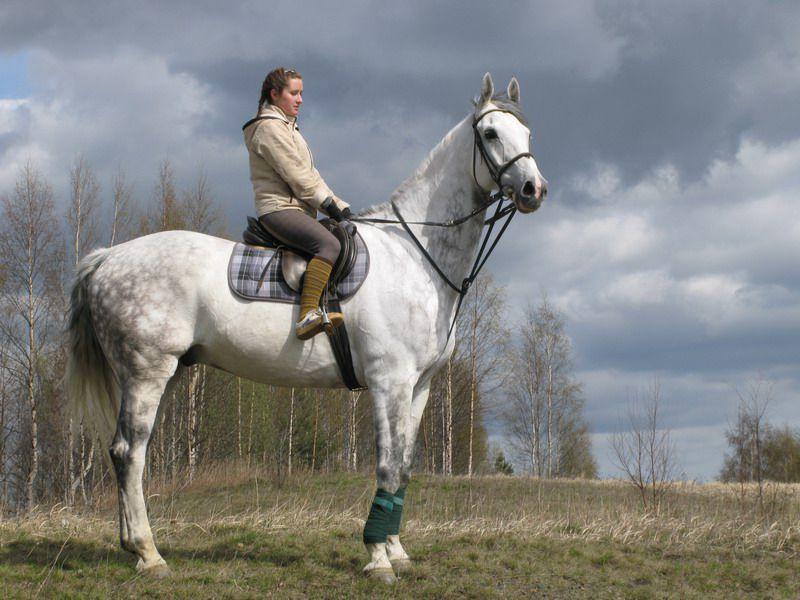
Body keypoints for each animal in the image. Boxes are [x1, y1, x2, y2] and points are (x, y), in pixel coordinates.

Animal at [66, 72, 547, 583]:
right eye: (490, 134)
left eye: (527, 134)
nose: (534, 189)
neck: (414, 252)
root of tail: (107, 258)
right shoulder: (389, 382)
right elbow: (386, 465)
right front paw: (377, 558)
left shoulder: (419, 387)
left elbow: (404, 466)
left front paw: (396, 549)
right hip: (147, 372)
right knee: (129, 452)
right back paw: (148, 552)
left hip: (167, 372)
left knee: (125, 452)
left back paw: (132, 547)